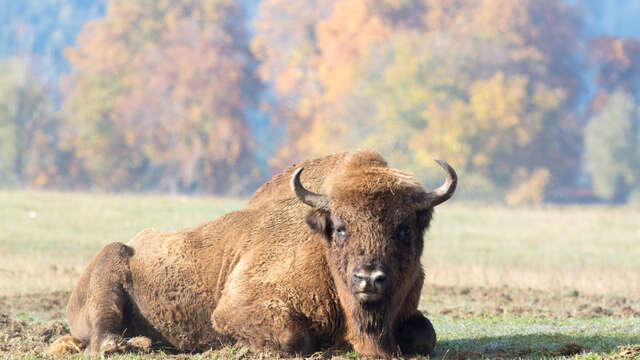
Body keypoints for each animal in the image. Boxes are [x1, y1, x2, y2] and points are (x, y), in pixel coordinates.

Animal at [47, 150, 456, 358]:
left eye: (405, 227)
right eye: (339, 227)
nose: (369, 279)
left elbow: (425, 335)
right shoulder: (236, 307)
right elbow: (293, 338)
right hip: (108, 274)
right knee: (104, 337)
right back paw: (137, 344)